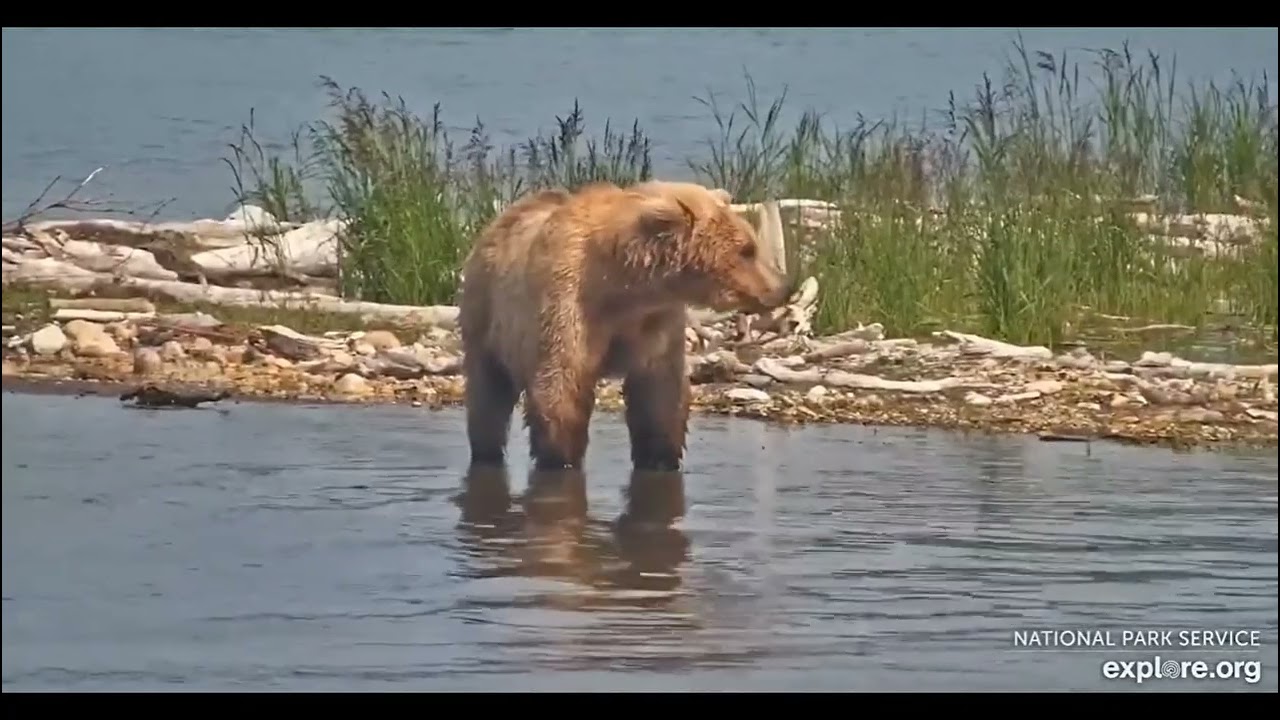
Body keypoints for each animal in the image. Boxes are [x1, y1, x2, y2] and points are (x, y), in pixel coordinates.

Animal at [458, 179, 794, 472]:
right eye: (747, 249)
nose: (782, 287)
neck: (624, 287)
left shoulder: (655, 320)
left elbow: (659, 393)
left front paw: (661, 457)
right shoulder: (568, 303)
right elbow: (560, 386)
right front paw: (561, 458)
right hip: (487, 316)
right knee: (488, 395)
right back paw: (486, 451)